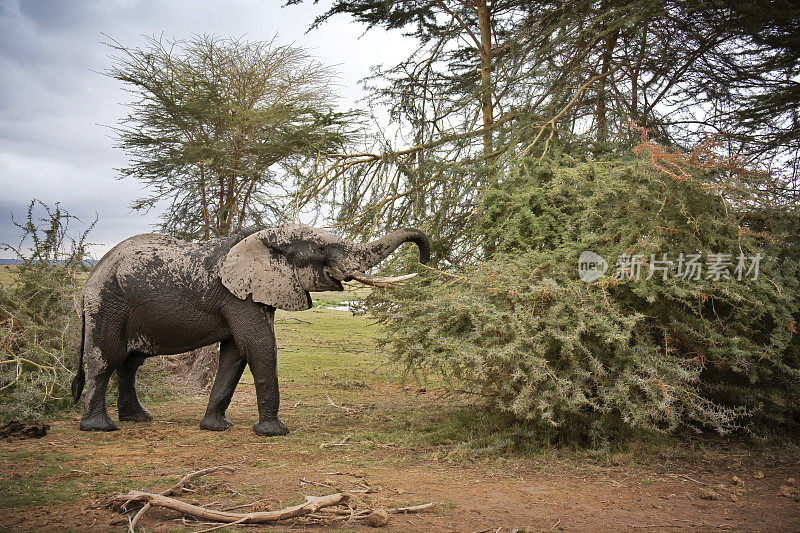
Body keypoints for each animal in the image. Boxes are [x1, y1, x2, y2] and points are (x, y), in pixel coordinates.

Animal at [71, 222, 428, 434]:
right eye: (322, 250)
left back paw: (138, 418)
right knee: (106, 359)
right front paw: (274, 432)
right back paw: (100, 428)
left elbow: (235, 354)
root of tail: (90, 278)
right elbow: (258, 347)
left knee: (130, 362)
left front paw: (216, 427)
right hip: (107, 304)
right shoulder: (237, 296)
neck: (264, 237)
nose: (425, 260)